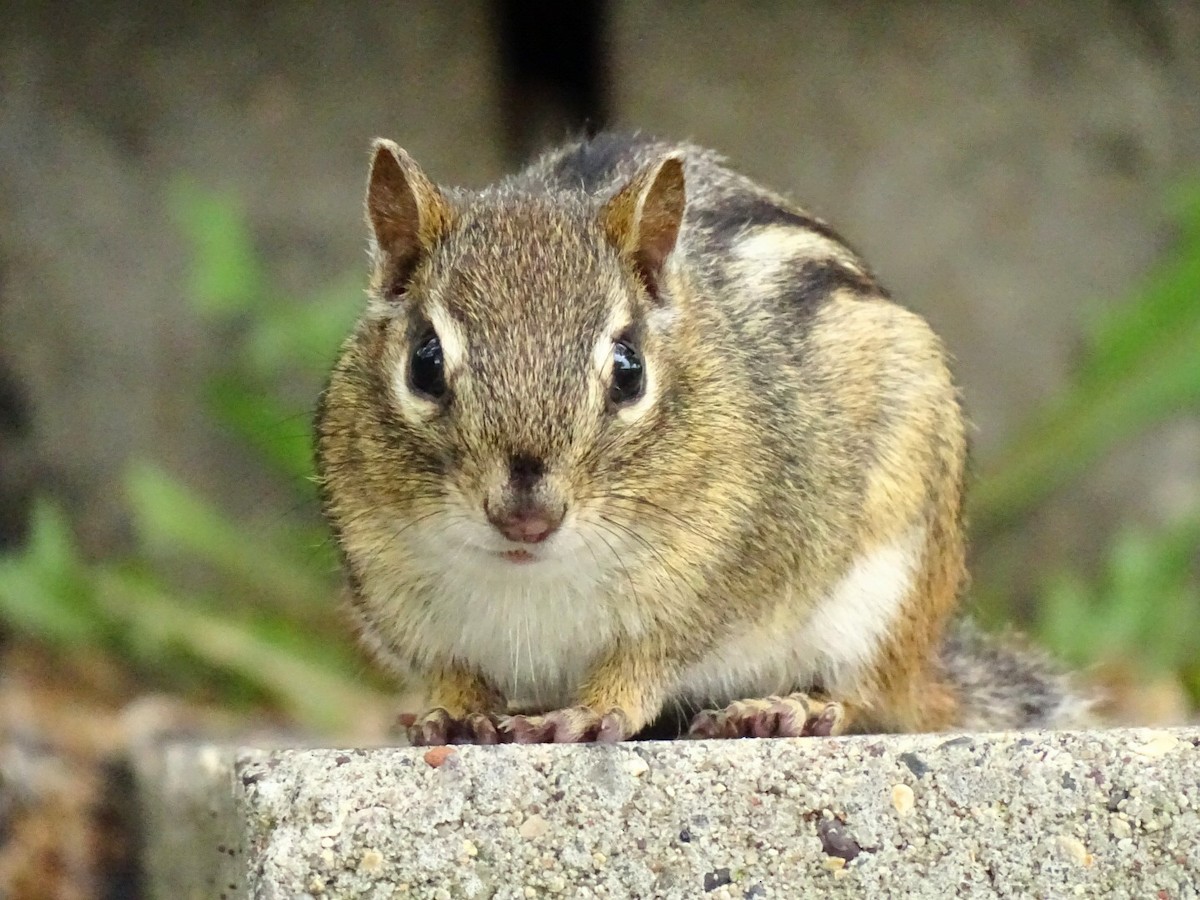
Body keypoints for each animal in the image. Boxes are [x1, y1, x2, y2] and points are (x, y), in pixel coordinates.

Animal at [315, 132, 1091, 745]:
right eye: (424, 363)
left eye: (628, 369)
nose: (526, 515)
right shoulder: (400, 597)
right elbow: (454, 671)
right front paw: (449, 712)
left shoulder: (701, 590)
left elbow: (639, 669)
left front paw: (589, 713)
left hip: (885, 591)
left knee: (866, 692)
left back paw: (790, 708)